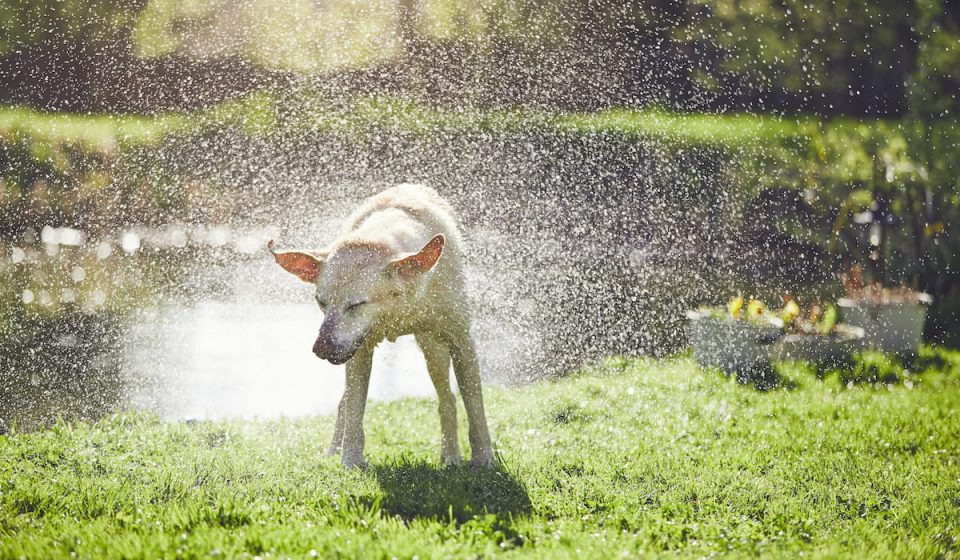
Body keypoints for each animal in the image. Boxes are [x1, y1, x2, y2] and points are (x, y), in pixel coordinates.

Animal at [270, 184, 496, 468]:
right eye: (320, 301)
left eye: (356, 304)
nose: (321, 348)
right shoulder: (358, 348)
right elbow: (355, 409)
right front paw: (350, 460)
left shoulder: (461, 340)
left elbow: (475, 405)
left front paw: (483, 459)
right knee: (345, 403)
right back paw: (333, 450)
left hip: (433, 349)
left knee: (447, 399)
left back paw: (451, 455)